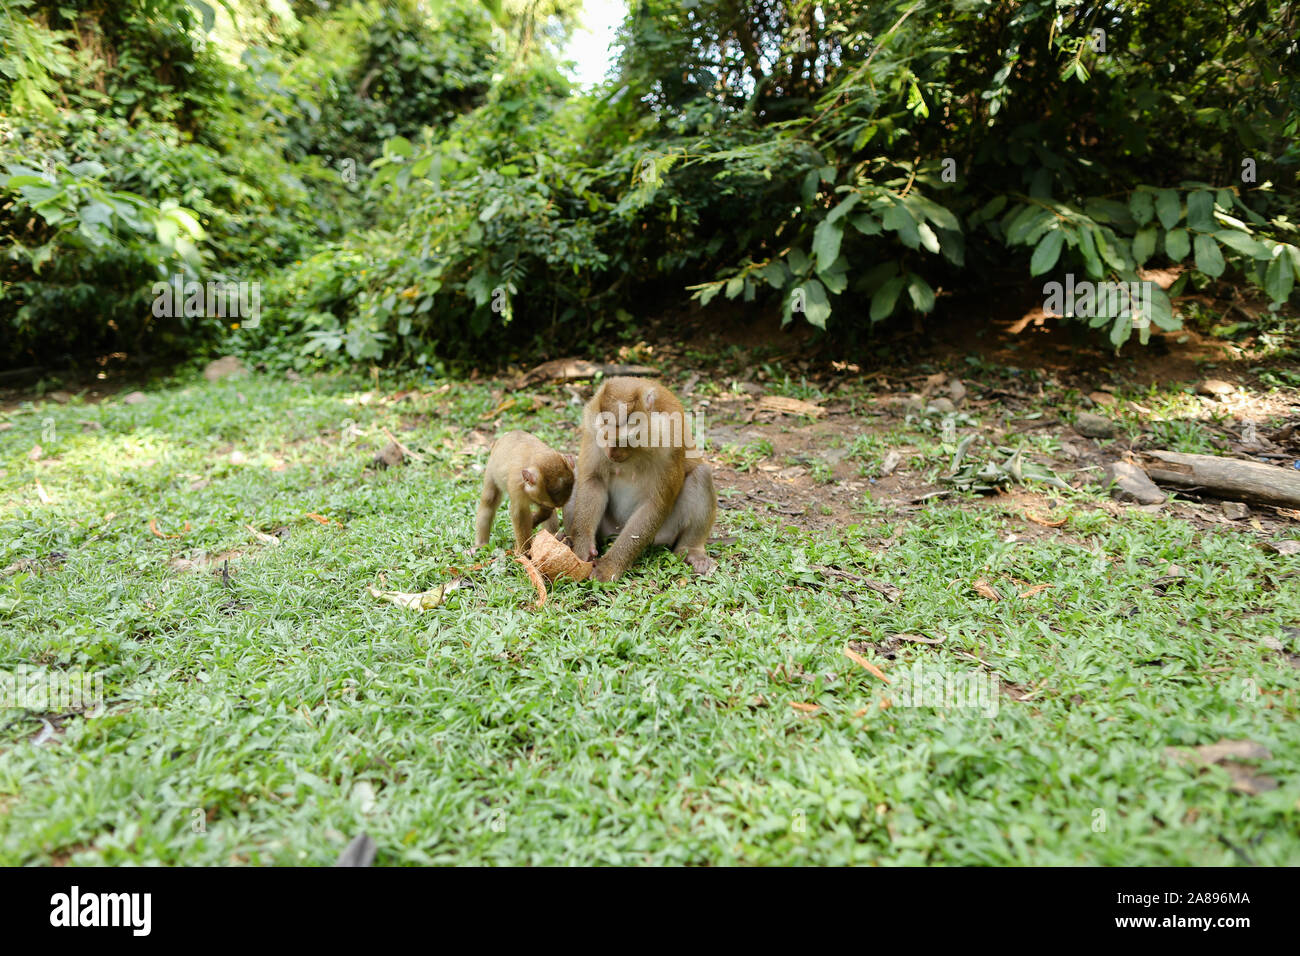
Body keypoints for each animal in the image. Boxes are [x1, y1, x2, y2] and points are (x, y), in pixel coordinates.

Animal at [564, 377, 717, 580]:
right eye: (604, 436)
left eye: (624, 440)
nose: (612, 454)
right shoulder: (591, 429)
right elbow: (593, 480)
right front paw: (582, 547)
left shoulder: (671, 440)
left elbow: (654, 504)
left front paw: (609, 567)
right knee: (574, 471)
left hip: (665, 532)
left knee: (702, 474)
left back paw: (692, 551)